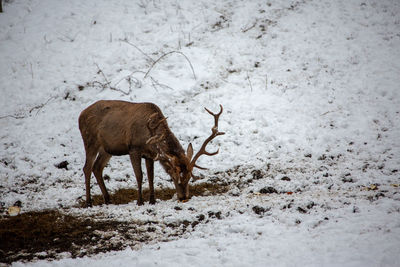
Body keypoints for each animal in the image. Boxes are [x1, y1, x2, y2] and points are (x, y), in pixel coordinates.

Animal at [76, 100, 223, 207]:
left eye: (189, 177)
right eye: (173, 177)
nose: (184, 197)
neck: (149, 139)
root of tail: (80, 115)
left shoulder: (150, 155)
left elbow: (151, 176)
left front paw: (152, 200)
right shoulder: (133, 149)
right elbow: (139, 175)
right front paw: (140, 201)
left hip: (107, 149)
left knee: (97, 167)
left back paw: (108, 199)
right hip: (90, 140)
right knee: (87, 167)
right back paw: (88, 202)